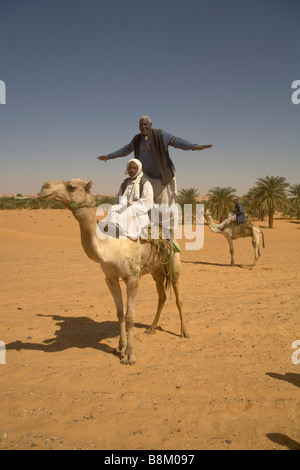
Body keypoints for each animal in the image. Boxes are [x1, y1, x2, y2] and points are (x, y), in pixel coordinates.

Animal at [38, 178, 189, 366]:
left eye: (71, 187)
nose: (44, 187)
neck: (110, 247)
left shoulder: (132, 278)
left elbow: (130, 316)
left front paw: (130, 355)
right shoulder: (110, 278)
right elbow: (120, 314)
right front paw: (120, 347)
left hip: (174, 265)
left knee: (178, 299)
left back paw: (184, 332)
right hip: (157, 271)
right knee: (161, 297)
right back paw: (151, 328)